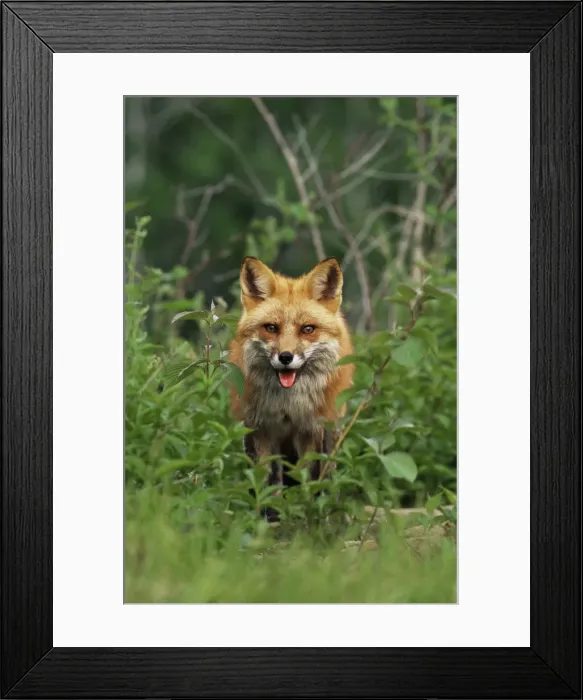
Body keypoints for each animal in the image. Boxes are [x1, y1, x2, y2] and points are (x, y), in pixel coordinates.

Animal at [229, 256, 354, 495]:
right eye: (271, 328)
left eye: (307, 329)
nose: (285, 357)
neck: (288, 405)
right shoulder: (261, 429)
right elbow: (265, 482)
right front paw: (266, 506)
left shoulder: (310, 429)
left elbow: (308, 478)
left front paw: (306, 504)